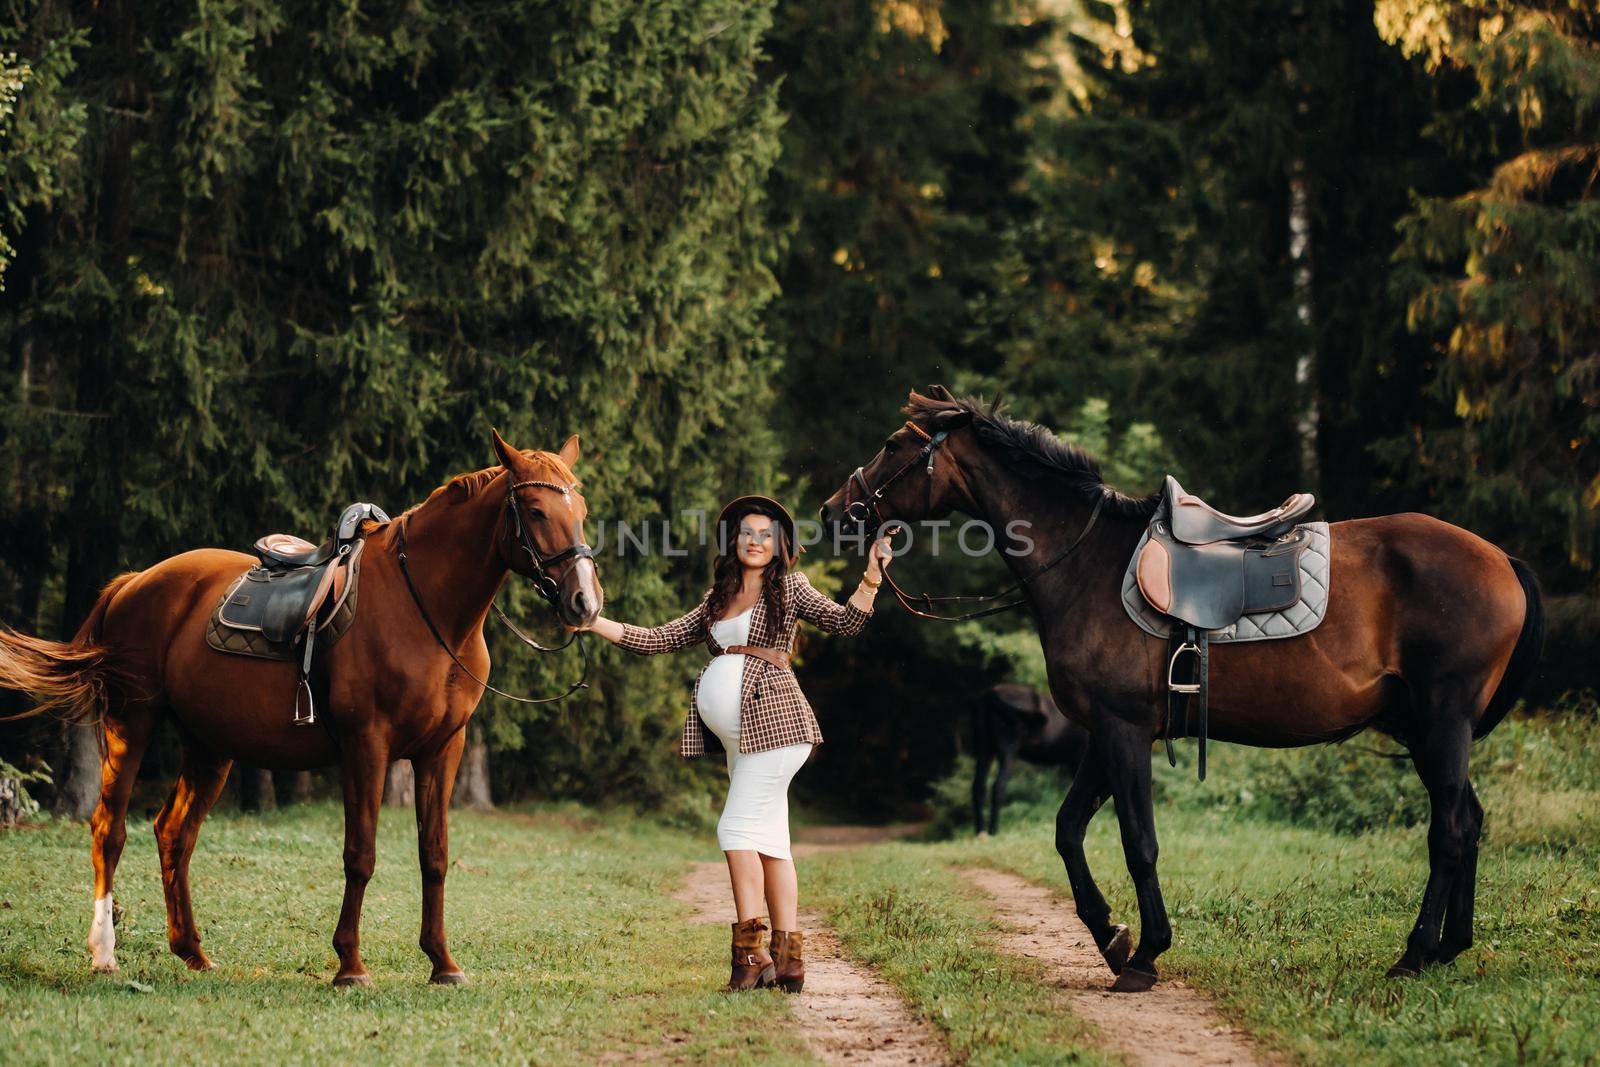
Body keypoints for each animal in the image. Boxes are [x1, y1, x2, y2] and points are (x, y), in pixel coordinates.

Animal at [0, 428, 601, 991]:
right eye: (536, 510)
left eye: (583, 512)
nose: (584, 603)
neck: (425, 608)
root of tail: (135, 582)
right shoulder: (367, 746)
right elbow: (361, 854)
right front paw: (350, 966)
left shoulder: (441, 750)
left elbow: (435, 854)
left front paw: (443, 963)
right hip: (132, 723)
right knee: (109, 827)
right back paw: (105, 953)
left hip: (209, 747)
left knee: (174, 834)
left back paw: (192, 951)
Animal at [966, 684, 1094, 831]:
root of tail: (990, 694)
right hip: (1007, 748)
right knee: (998, 786)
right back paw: (993, 830)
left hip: (984, 748)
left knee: (978, 787)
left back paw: (980, 830)